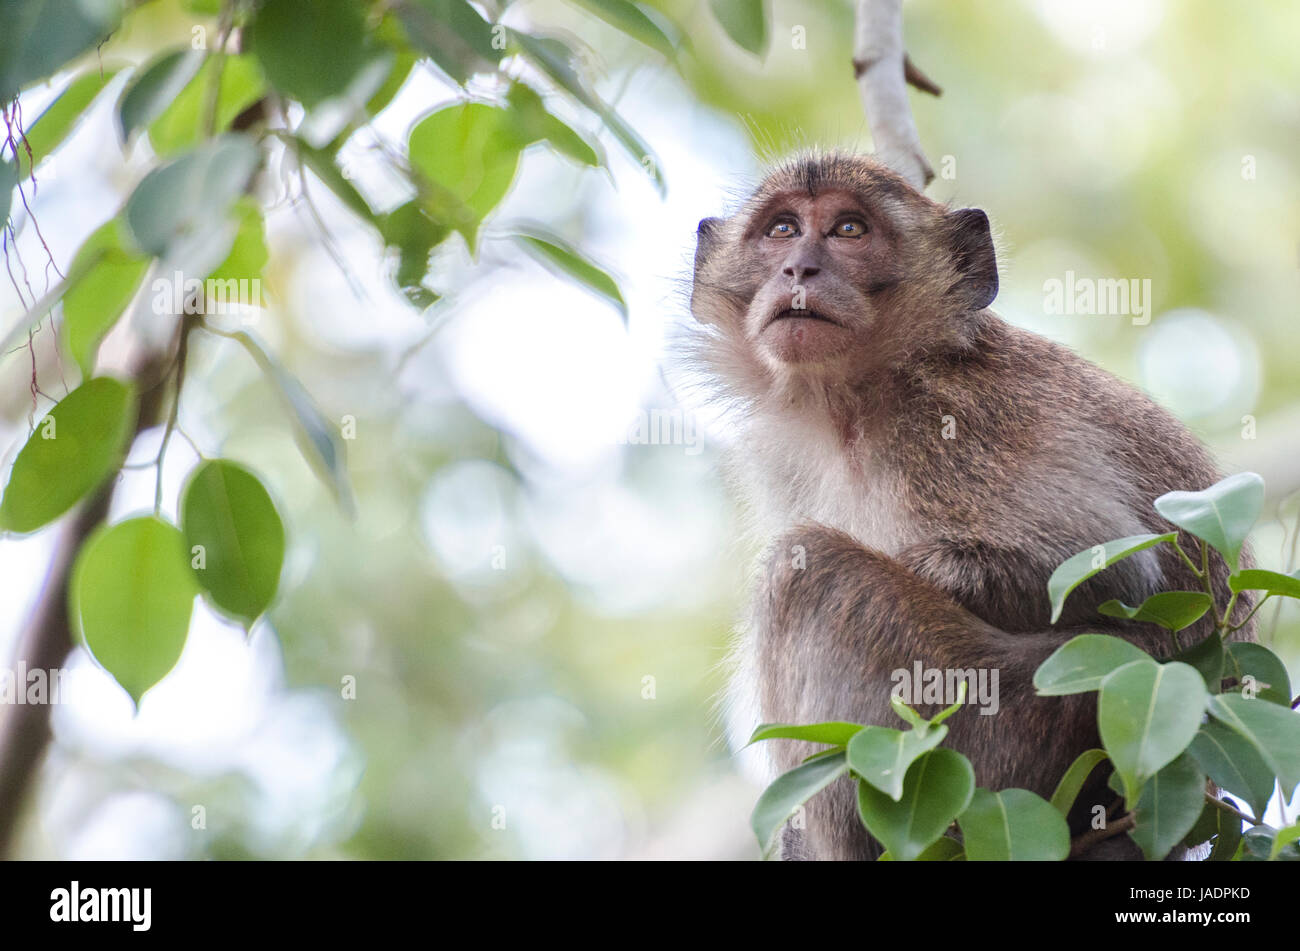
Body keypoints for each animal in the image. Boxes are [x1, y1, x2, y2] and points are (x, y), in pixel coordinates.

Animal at [691, 153, 1248, 862]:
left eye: (849, 229)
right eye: (782, 229)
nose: (799, 269)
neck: (864, 395)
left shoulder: (956, 429)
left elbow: (1114, 575)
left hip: (1002, 734)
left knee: (808, 566)